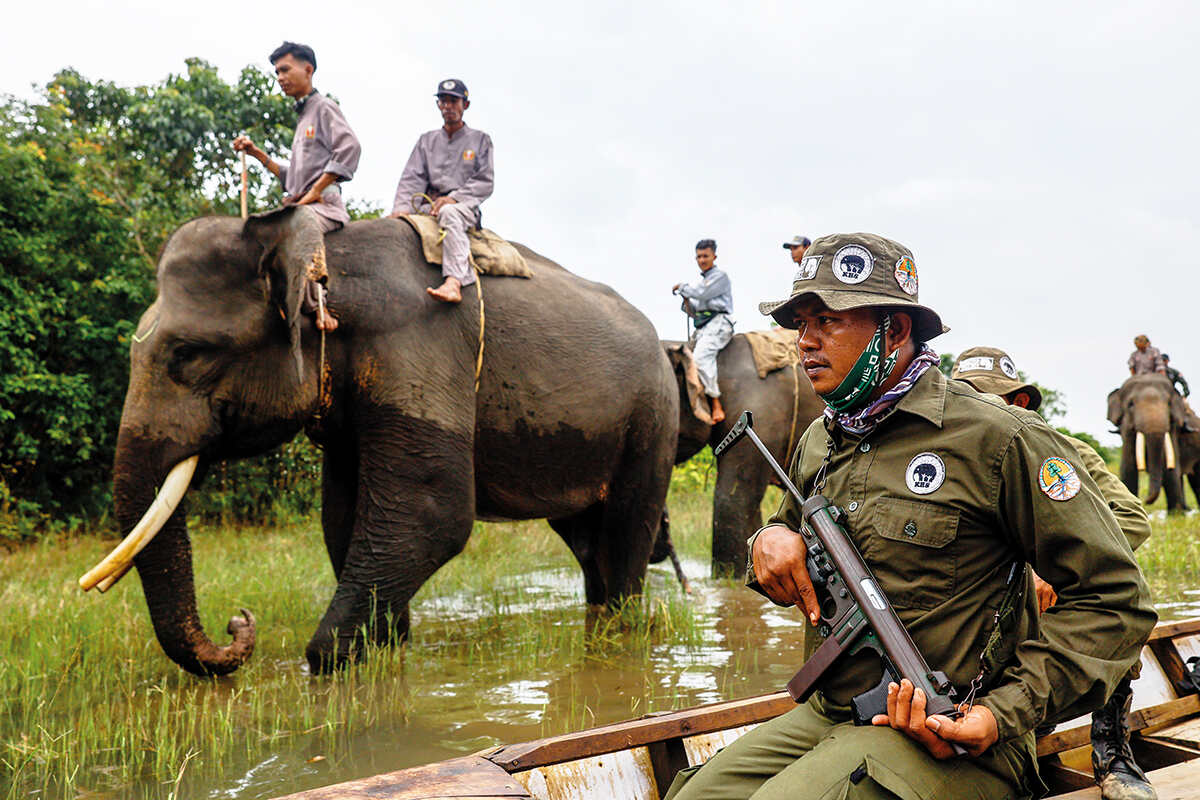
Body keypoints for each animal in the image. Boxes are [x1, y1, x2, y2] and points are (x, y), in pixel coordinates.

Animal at [103, 206, 679, 676]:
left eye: (188, 354)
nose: (239, 622)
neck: (325, 255)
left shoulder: (417, 345)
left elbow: (432, 514)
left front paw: (333, 658)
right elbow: (341, 517)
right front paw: (387, 650)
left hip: (654, 421)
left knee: (625, 533)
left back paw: (622, 635)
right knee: (585, 542)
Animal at [1107, 373, 1186, 508]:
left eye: (1168, 403)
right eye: (1131, 404)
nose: (1144, 501)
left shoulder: (1174, 426)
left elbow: (1172, 469)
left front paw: (1176, 513)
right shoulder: (1125, 427)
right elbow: (1128, 468)